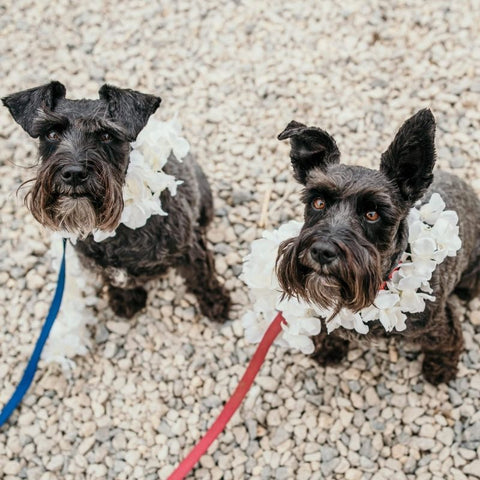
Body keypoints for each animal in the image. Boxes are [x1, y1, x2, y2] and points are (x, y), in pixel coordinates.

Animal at [1, 81, 231, 322]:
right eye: (52, 133)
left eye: (106, 135)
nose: (73, 174)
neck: (119, 228)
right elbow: (115, 280)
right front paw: (125, 299)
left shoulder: (189, 248)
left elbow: (202, 275)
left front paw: (215, 302)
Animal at [276, 109, 480, 386]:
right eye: (318, 202)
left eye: (372, 214)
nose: (321, 251)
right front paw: (328, 346)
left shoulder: (439, 322)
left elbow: (448, 343)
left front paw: (440, 369)